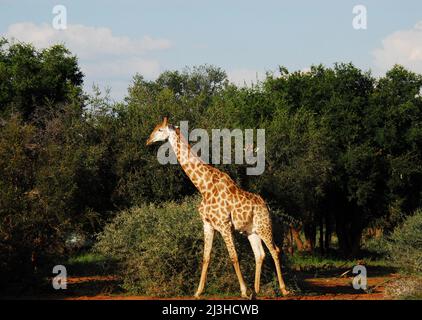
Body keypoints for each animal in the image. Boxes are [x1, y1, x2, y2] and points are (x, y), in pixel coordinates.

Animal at [146, 117, 290, 298]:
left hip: (264, 226)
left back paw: (283, 289)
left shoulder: (224, 225)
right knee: (260, 254)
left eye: (159, 129)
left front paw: (243, 291)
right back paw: (257, 290)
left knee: (275, 251)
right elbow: (206, 257)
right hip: (251, 230)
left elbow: (233, 256)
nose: (148, 140)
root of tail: (266, 206)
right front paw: (198, 291)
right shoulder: (208, 224)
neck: (203, 186)